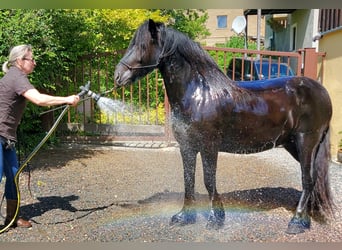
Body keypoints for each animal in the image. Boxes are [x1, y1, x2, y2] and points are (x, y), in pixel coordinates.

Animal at [115, 19, 334, 234]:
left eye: (142, 46)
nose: (117, 76)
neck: (199, 93)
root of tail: (321, 90)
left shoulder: (209, 147)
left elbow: (208, 180)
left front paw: (215, 219)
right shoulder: (187, 147)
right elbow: (188, 179)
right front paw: (185, 216)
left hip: (307, 141)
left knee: (308, 179)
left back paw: (297, 222)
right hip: (293, 144)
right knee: (313, 179)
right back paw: (308, 213)